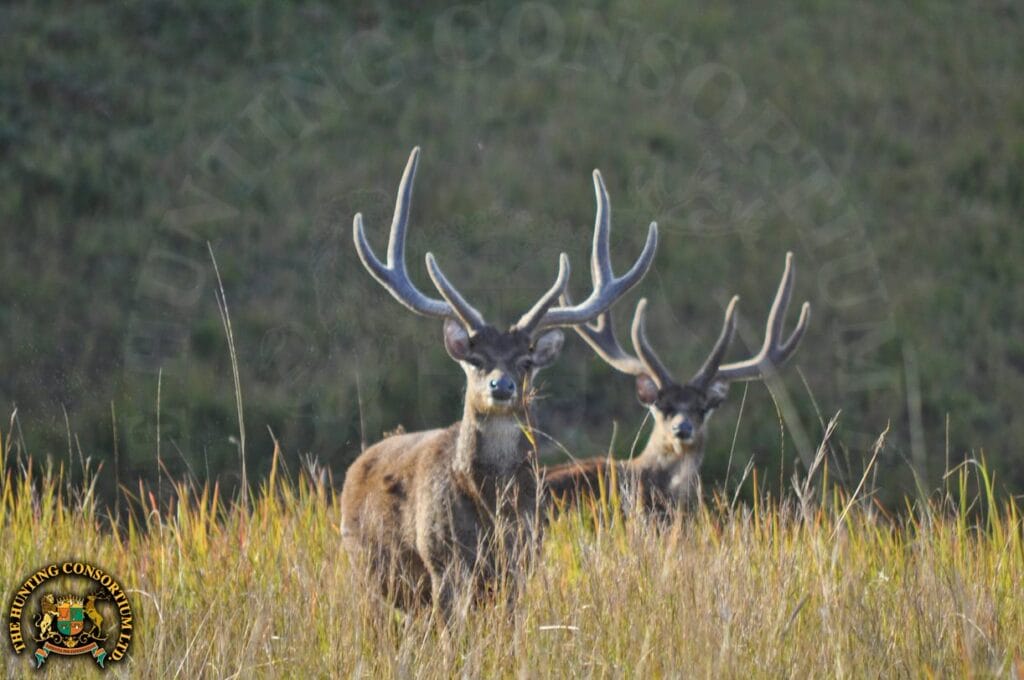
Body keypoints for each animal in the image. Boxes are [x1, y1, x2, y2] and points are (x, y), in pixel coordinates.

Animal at [340, 147, 658, 621]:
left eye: (525, 361)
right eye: (476, 359)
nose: (501, 386)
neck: (496, 508)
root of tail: (357, 464)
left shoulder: (522, 561)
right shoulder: (443, 561)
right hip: (367, 570)